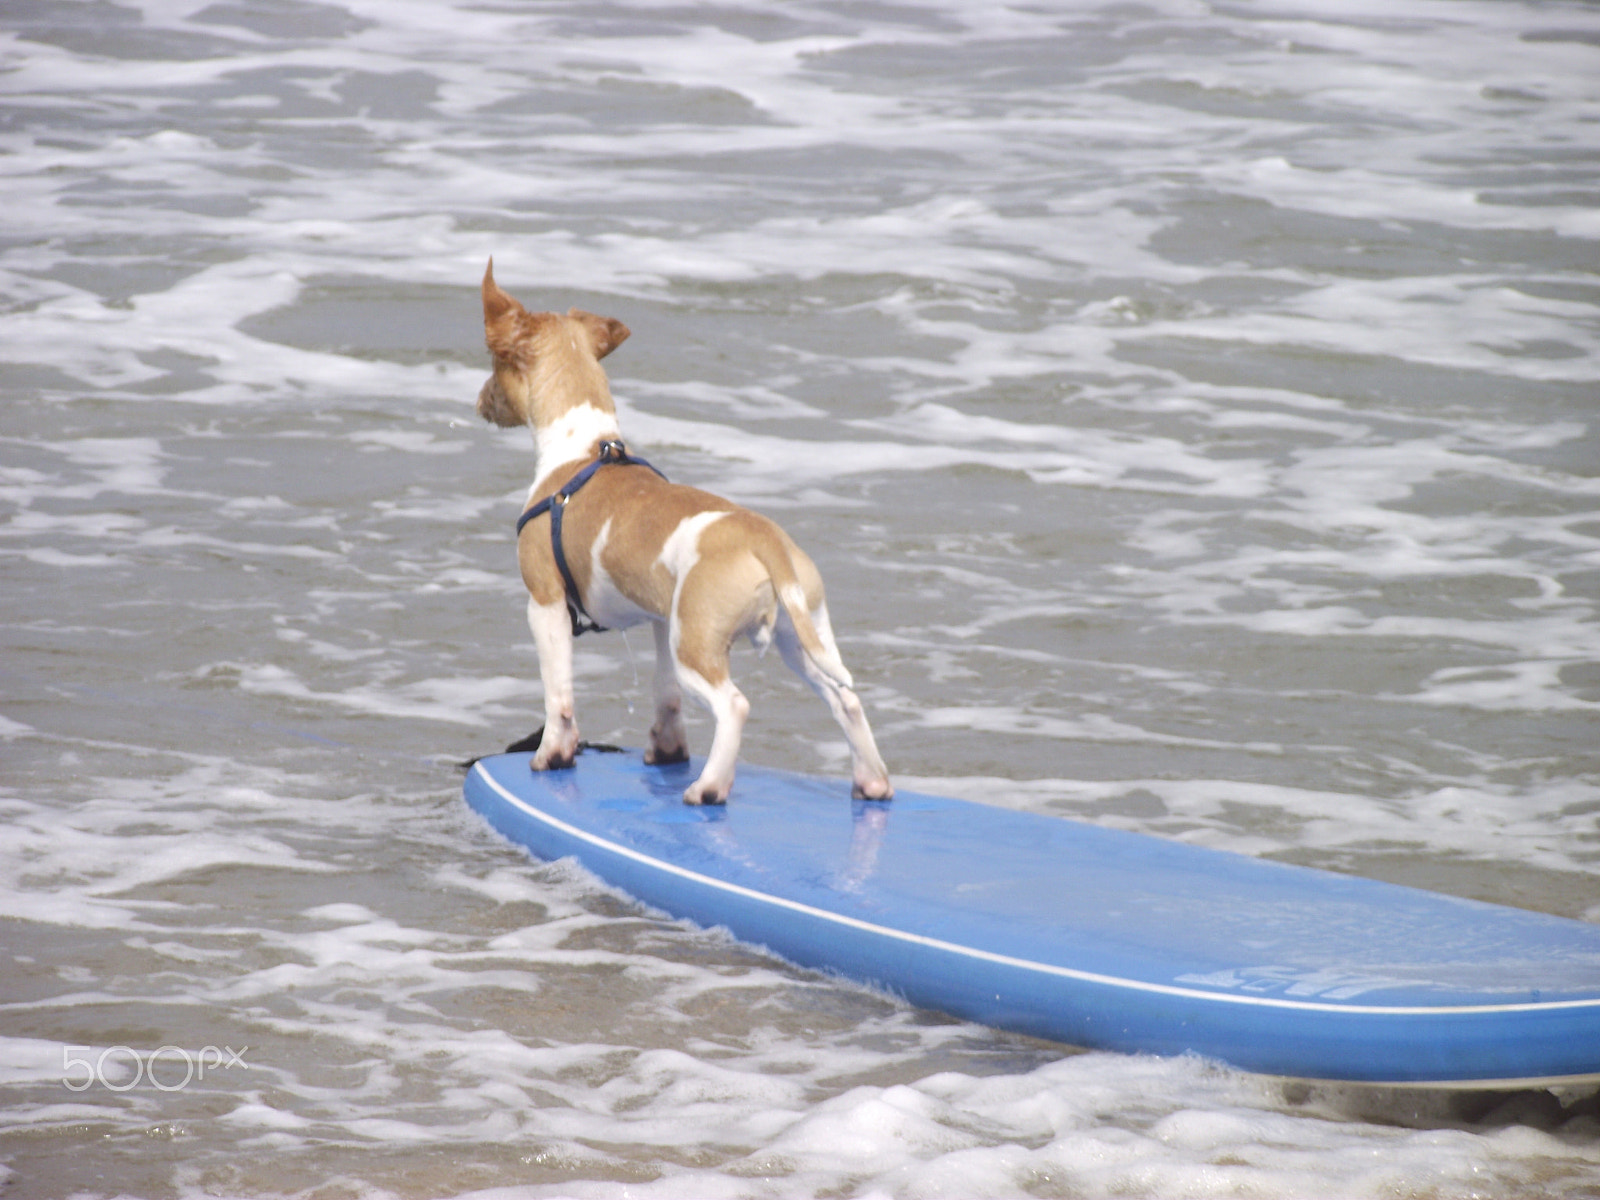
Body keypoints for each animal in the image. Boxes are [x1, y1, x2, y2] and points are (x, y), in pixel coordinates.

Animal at [473, 262, 902, 809]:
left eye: (494, 361)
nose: (479, 400)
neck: (585, 448)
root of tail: (763, 538)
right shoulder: (661, 620)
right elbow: (665, 697)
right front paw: (667, 751)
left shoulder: (544, 604)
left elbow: (559, 697)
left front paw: (552, 755)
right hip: (799, 637)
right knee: (844, 698)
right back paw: (871, 781)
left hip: (697, 649)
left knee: (734, 705)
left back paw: (710, 786)